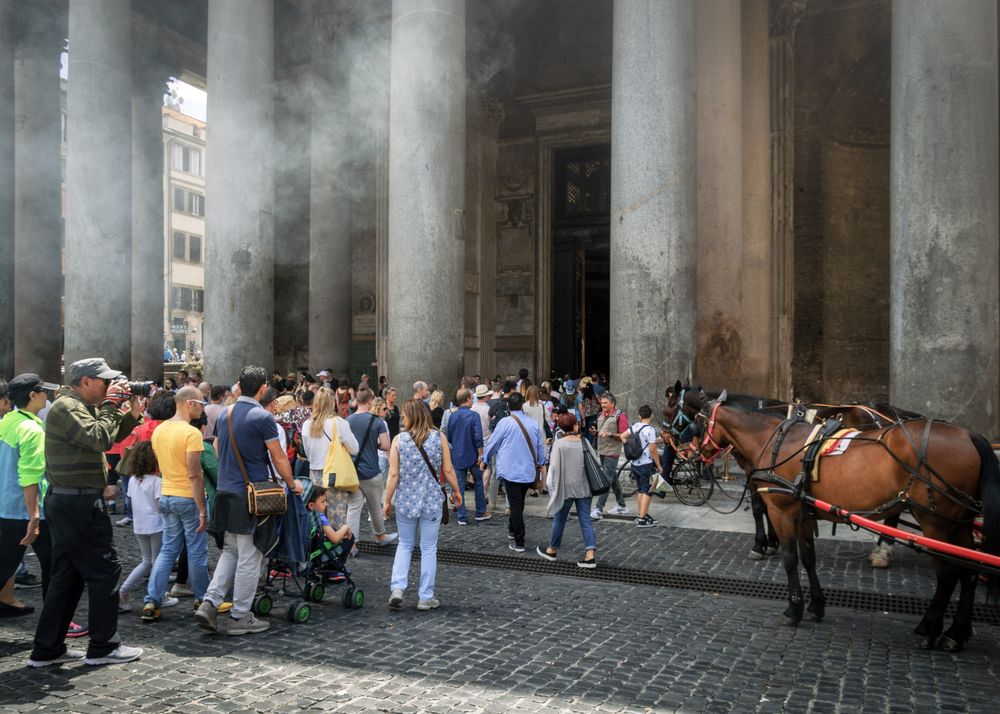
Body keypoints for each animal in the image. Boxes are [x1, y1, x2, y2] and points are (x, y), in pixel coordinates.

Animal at [676, 390, 996, 652]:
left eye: (696, 423)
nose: (690, 455)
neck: (774, 439)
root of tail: (970, 436)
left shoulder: (782, 509)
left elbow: (790, 558)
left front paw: (793, 609)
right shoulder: (804, 513)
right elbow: (808, 558)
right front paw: (816, 605)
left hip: (935, 521)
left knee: (948, 573)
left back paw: (928, 627)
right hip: (958, 521)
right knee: (969, 569)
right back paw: (956, 633)